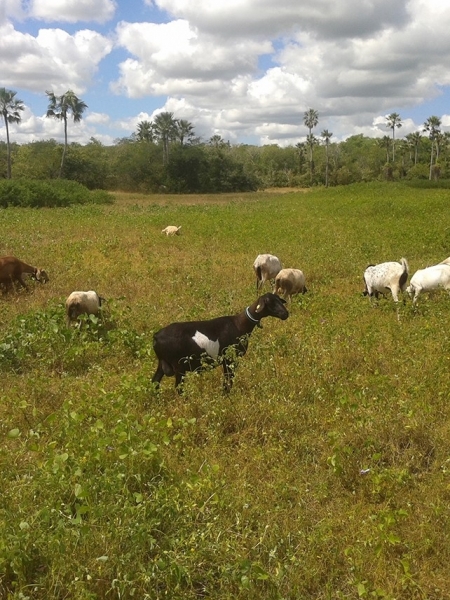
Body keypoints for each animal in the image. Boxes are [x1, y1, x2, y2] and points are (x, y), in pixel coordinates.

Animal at [151, 292, 288, 394]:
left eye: (280, 300)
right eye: (269, 303)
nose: (285, 314)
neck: (239, 324)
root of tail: (156, 336)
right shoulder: (229, 359)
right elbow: (228, 381)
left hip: (163, 363)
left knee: (155, 382)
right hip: (179, 366)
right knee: (178, 388)